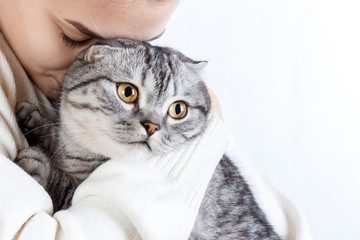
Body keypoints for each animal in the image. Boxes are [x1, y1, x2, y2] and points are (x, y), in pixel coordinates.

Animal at [14, 38, 282, 239]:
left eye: (178, 109)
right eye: (127, 92)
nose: (152, 127)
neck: (82, 154)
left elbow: (68, 186)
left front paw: (40, 164)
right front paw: (34, 121)